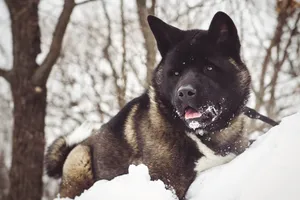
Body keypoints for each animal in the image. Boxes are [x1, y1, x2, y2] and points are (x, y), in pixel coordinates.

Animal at [44, 11, 251, 199]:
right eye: (175, 73)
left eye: (208, 68)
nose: (184, 93)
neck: (204, 135)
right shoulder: (165, 182)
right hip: (80, 159)